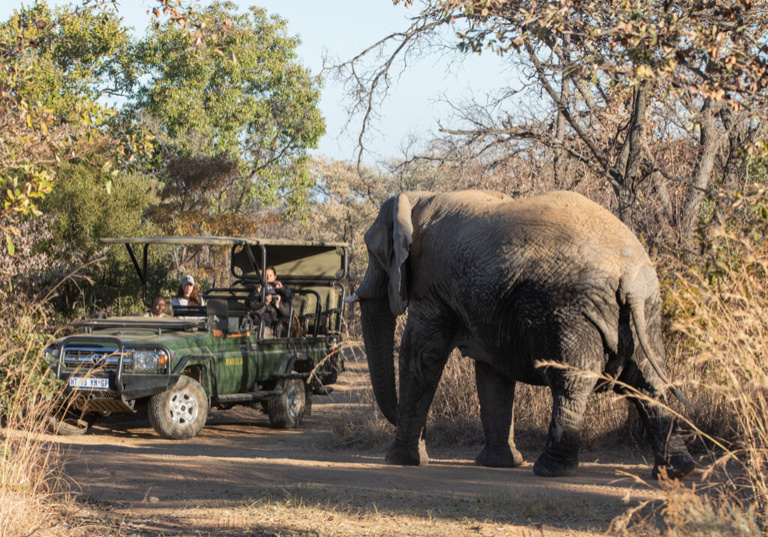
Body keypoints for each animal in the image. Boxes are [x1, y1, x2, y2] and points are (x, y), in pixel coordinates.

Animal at [354, 188, 696, 478]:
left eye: (374, 253)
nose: (428, 437)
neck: (418, 198)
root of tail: (629, 275)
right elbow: (492, 373)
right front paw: (498, 464)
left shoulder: (433, 284)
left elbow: (422, 357)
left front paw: (399, 460)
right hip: (646, 312)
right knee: (648, 383)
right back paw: (675, 472)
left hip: (571, 311)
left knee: (572, 383)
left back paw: (550, 470)